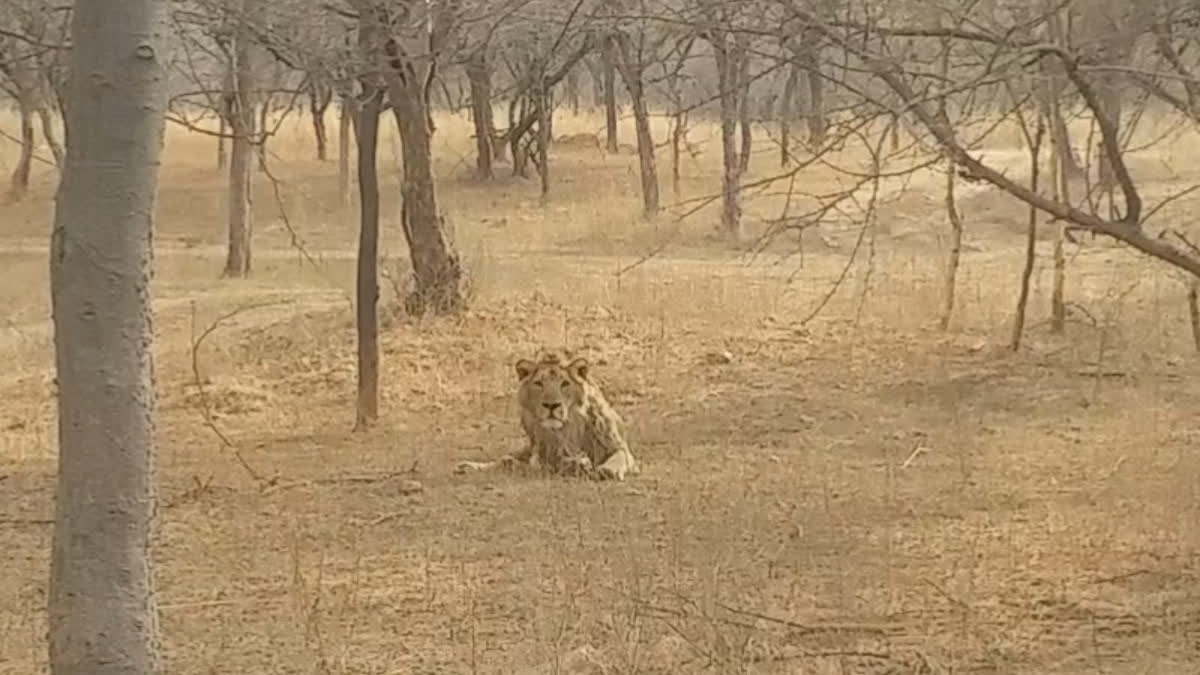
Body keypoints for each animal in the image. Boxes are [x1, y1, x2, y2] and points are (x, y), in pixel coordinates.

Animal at [451, 348, 638, 480]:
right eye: (539, 383)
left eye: (565, 383)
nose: (551, 405)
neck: (570, 428)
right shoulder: (544, 456)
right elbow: (552, 463)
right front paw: (577, 464)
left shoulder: (618, 447)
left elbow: (619, 457)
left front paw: (607, 470)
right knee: (506, 459)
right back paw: (467, 467)